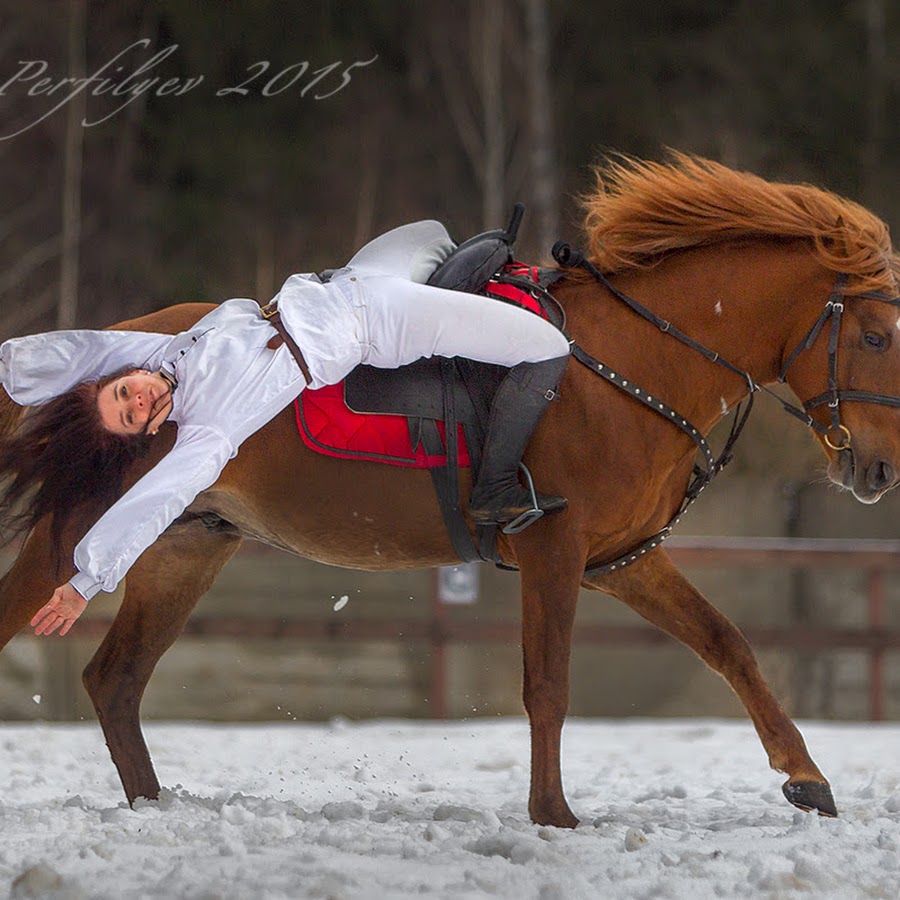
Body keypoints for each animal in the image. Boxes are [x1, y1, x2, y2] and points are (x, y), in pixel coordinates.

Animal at [1, 155, 900, 824]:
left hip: (183, 546)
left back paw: (155, 807)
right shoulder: (554, 547)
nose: (879, 470)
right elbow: (548, 685)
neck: (634, 358)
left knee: (115, 681)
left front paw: (805, 775)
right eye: (878, 335)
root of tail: (141, 341)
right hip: (79, 534)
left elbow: (727, 644)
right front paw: (553, 815)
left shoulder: (622, 557)